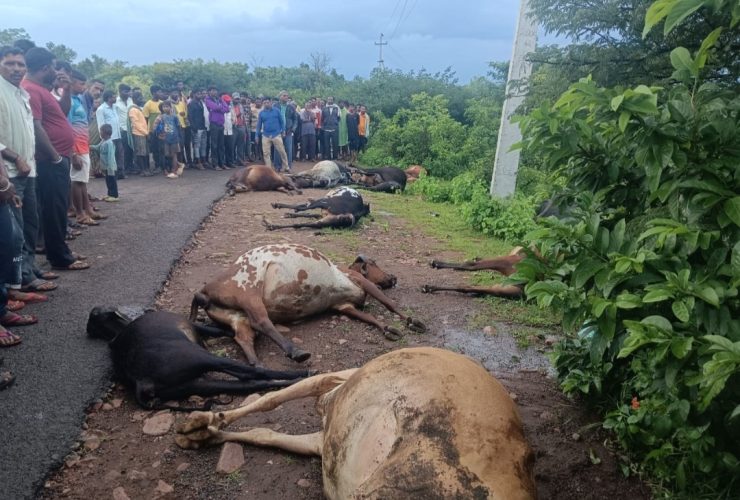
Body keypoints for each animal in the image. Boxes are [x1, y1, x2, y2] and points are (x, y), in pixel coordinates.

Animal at [86, 304, 306, 410]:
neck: (118, 332)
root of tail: (142, 382)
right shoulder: (195, 327)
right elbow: (219, 331)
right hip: (202, 357)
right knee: (251, 373)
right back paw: (303, 374)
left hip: (197, 384)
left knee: (253, 383)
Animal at [179, 348, 536, 500]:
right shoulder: (324, 441)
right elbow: (265, 431)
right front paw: (201, 431)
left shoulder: (340, 379)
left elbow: (275, 397)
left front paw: (202, 421)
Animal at [188, 244, 424, 366]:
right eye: (374, 264)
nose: (393, 277)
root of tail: (204, 292)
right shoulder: (361, 281)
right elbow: (388, 303)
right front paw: (413, 321)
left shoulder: (343, 306)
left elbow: (371, 318)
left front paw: (388, 328)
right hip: (248, 292)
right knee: (262, 322)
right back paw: (296, 351)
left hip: (237, 317)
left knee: (243, 337)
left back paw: (259, 365)